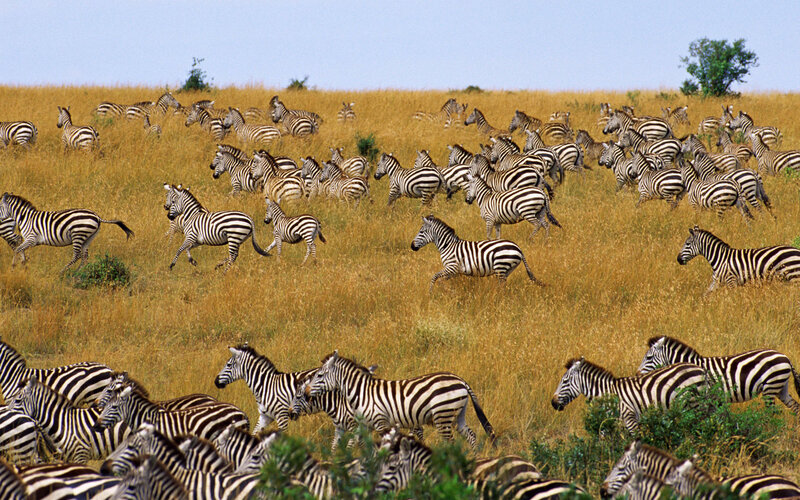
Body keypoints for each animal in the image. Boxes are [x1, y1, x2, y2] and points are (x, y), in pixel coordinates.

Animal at [0, 192, 134, 273]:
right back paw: (78, 273)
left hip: (78, 234)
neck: (25, 217)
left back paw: (63, 271)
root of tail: (97, 216)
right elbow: (19, 249)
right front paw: (23, 265)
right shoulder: (29, 240)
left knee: (77, 255)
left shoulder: (31, 239)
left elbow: (17, 249)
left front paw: (13, 267)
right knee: (85, 256)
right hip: (89, 237)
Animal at [307, 349, 496, 449]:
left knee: (451, 443)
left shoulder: (381, 422)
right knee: (471, 436)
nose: (306, 391)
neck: (362, 393)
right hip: (457, 414)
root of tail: (461, 380)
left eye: (319, 375)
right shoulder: (364, 425)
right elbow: (358, 446)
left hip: (443, 415)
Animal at [411, 215, 543, 290]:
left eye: (421, 232)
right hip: (508, 269)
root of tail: (518, 248)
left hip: (501, 265)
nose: (412, 246)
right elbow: (440, 280)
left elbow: (434, 277)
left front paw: (432, 293)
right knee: (503, 285)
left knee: (501, 286)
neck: (448, 246)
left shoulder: (452, 267)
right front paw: (446, 292)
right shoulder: (453, 271)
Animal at [551, 357, 707, 432]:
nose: (553, 403)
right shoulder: (608, 423)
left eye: (565, 381)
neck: (607, 395)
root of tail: (699, 368)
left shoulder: (630, 418)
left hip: (692, 404)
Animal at [638, 336, 800, 414]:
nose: (637, 374)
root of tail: (785, 357)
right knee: (795, 407)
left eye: (649, 358)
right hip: (780, 387)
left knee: (771, 413)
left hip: (771, 387)